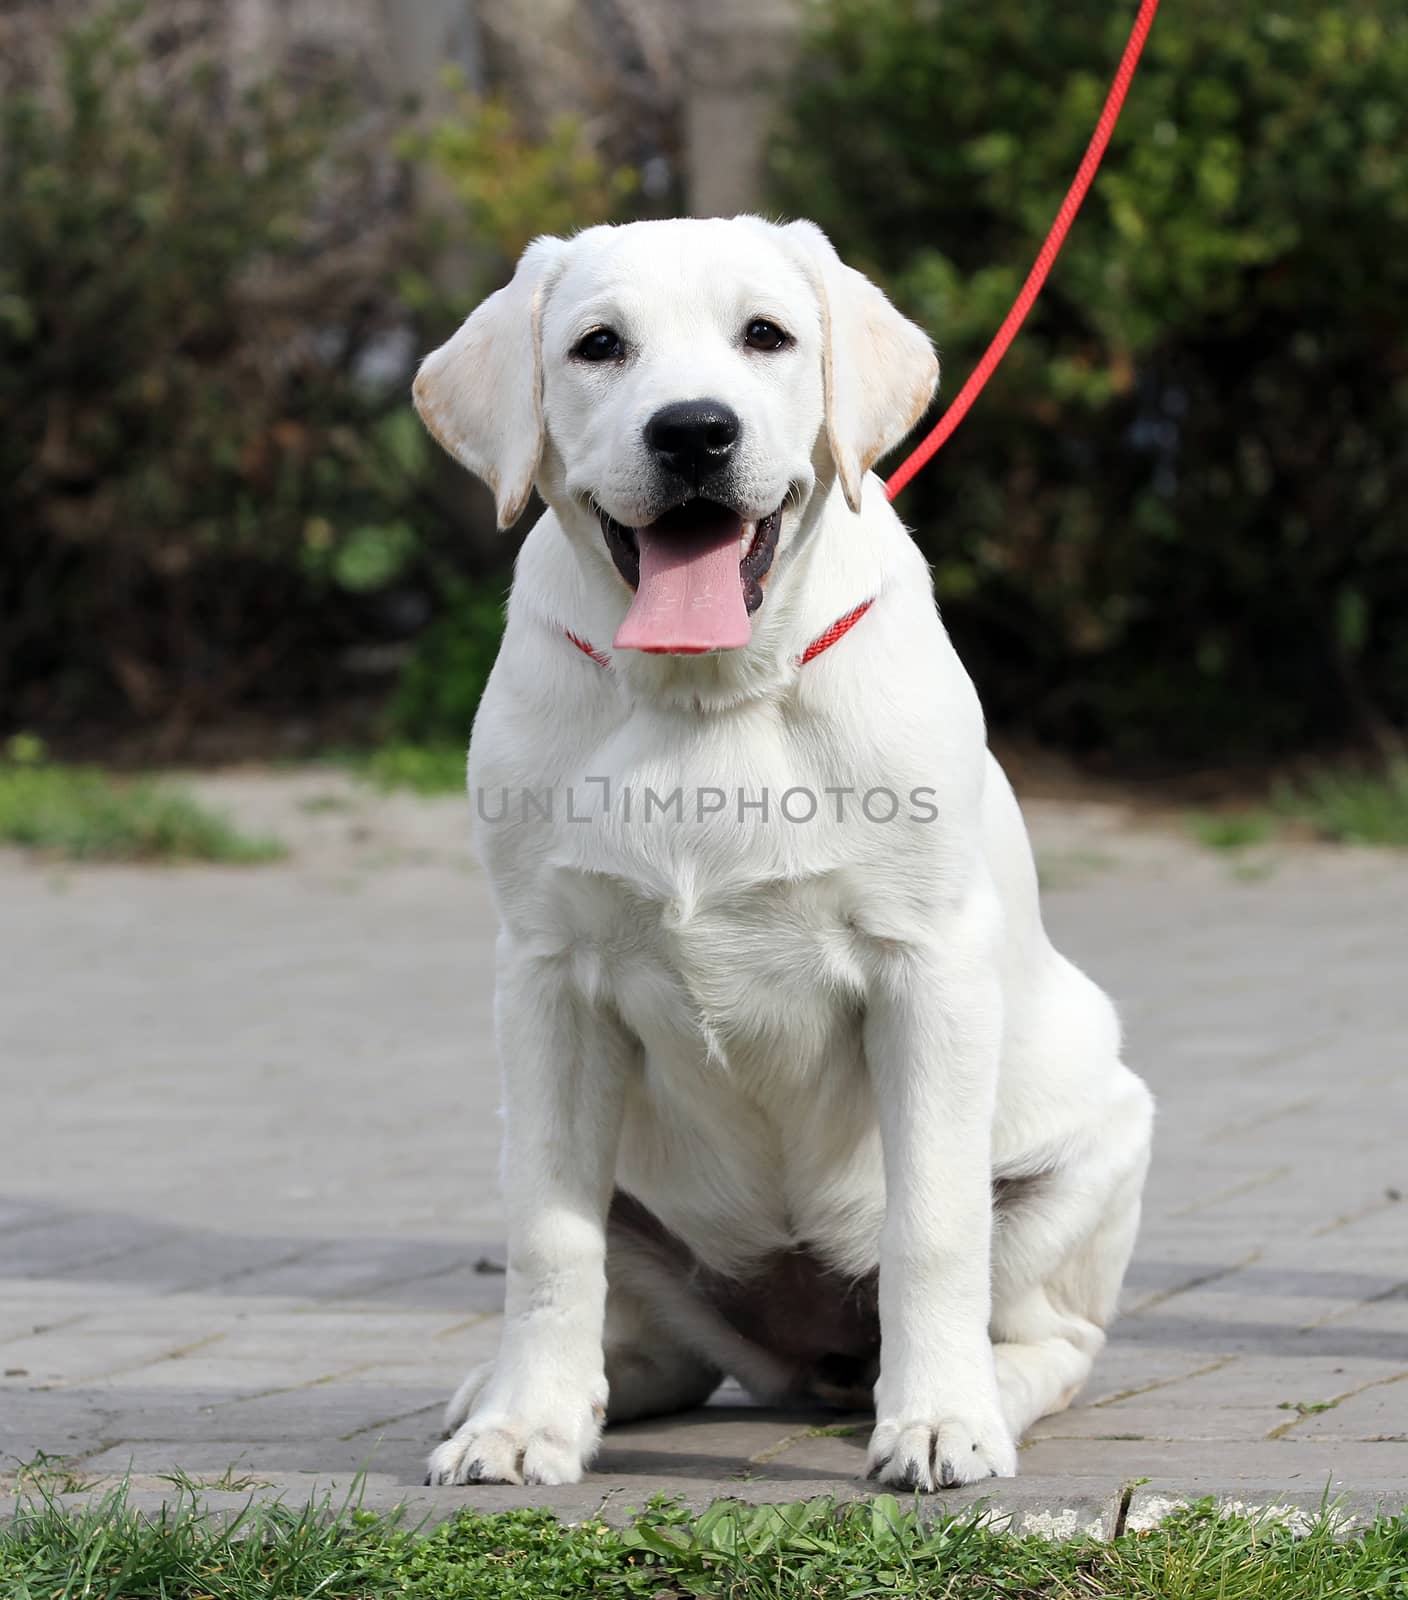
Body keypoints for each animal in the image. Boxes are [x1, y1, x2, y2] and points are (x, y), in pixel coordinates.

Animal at [409, 212, 1152, 1484]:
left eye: (766, 335)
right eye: (598, 346)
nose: (693, 430)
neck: (707, 693)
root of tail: (809, 1357)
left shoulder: (927, 971)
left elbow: (932, 1225)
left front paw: (938, 1420)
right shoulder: (544, 980)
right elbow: (549, 1239)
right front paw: (523, 1424)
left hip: (1093, 1146)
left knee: (1047, 1333)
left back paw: (978, 1393)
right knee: (651, 1335)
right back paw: (532, 1397)